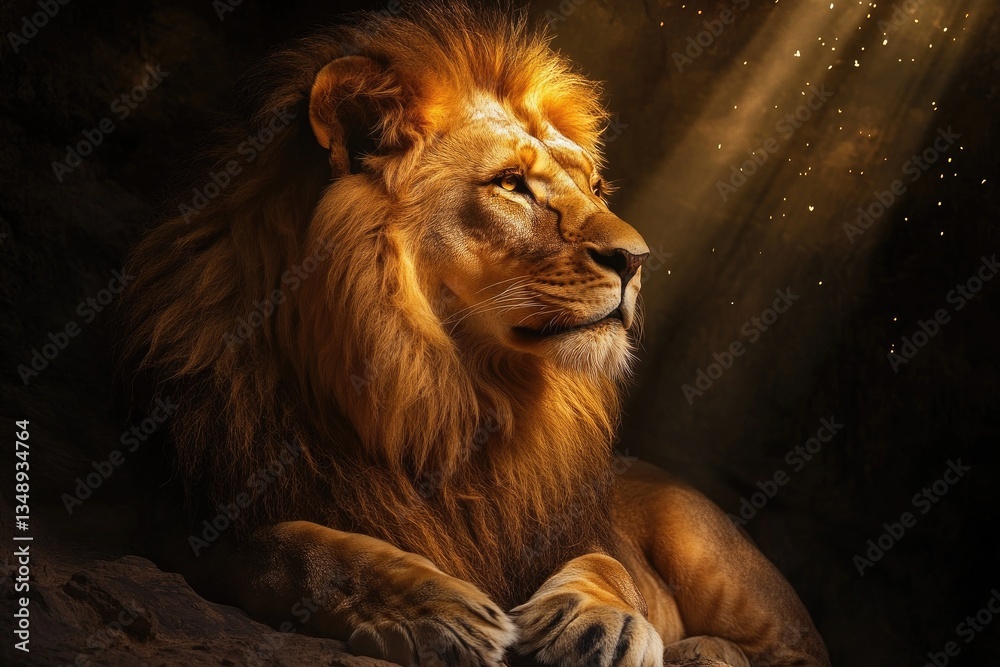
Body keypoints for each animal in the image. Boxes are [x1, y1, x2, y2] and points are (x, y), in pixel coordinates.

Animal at [119, 4, 831, 666]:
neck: (450, 395)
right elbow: (290, 545)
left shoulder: (572, 533)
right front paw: (432, 610)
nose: (637, 260)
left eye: (595, 186)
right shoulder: (181, 514)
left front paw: (597, 623)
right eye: (511, 184)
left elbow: (608, 567)